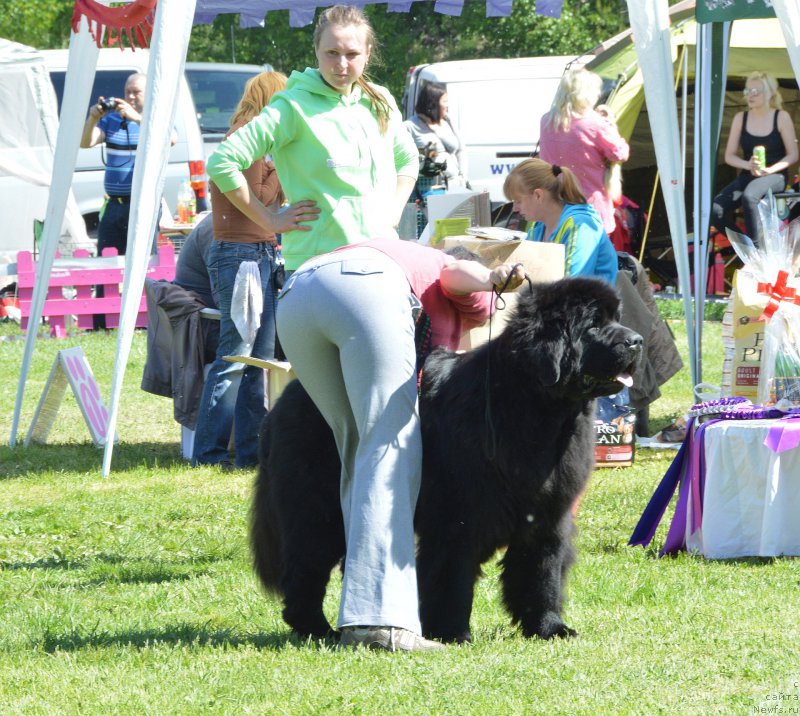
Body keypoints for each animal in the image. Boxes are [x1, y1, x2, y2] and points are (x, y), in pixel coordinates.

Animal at [250, 276, 644, 644]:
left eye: (617, 318)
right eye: (593, 325)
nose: (637, 341)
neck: (536, 410)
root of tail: (289, 396)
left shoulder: (548, 515)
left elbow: (541, 574)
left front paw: (549, 627)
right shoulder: (456, 518)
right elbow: (452, 577)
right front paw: (453, 633)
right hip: (315, 509)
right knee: (305, 568)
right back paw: (317, 629)